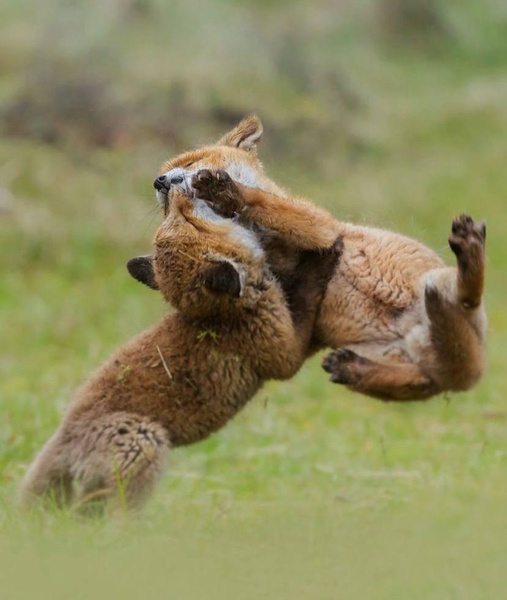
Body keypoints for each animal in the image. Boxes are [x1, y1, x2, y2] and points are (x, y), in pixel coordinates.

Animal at [155, 115, 488, 400]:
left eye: (189, 162)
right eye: (165, 206)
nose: (158, 182)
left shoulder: (321, 227)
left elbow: (268, 204)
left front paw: (227, 191)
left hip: (443, 288)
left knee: (467, 297)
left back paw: (470, 251)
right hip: (402, 371)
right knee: (416, 378)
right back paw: (354, 368)